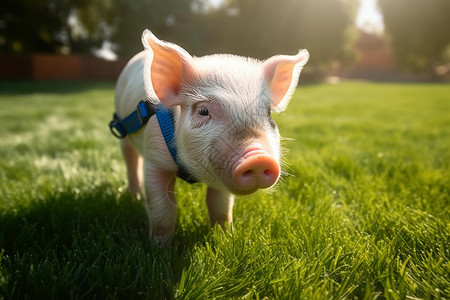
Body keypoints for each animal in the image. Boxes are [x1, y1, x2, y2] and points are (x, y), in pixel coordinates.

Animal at [114, 29, 308, 244]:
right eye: (203, 111)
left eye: (268, 114)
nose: (258, 157)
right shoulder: (155, 159)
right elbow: (163, 209)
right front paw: (159, 246)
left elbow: (220, 206)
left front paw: (226, 238)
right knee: (130, 160)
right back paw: (134, 196)